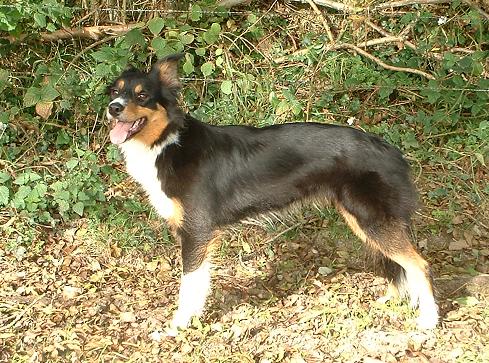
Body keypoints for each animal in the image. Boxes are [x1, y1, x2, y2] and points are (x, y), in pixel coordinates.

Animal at [104, 53, 438, 336]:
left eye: (143, 95)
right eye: (114, 92)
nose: (113, 108)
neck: (167, 142)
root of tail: (393, 151)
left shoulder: (197, 232)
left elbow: (189, 287)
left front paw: (179, 327)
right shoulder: (193, 234)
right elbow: (198, 284)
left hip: (371, 219)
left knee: (419, 264)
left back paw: (429, 320)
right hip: (365, 221)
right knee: (399, 265)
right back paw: (392, 301)